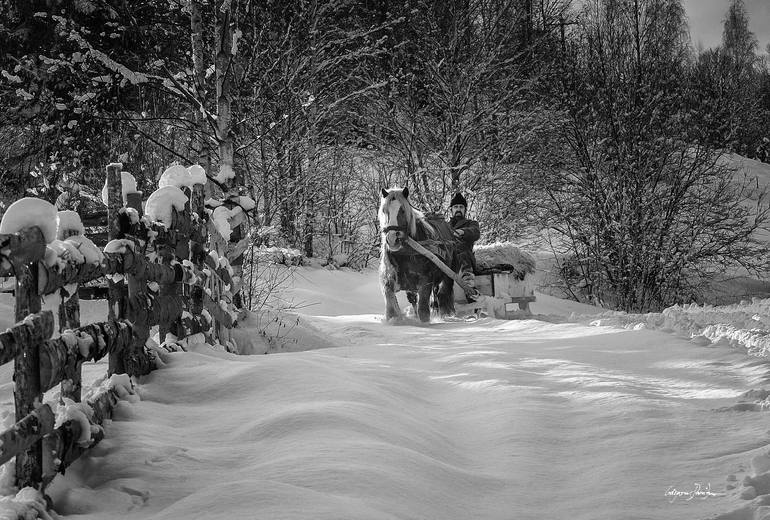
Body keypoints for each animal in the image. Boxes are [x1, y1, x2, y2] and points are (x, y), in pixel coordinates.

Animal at [378, 185, 456, 322]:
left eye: (402, 210)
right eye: (384, 211)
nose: (392, 239)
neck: (405, 253)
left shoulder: (426, 280)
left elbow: (423, 309)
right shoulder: (389, 277)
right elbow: (390, 298)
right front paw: (394, 319)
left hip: (447, 274)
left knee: (443, 294)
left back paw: (446, 314)